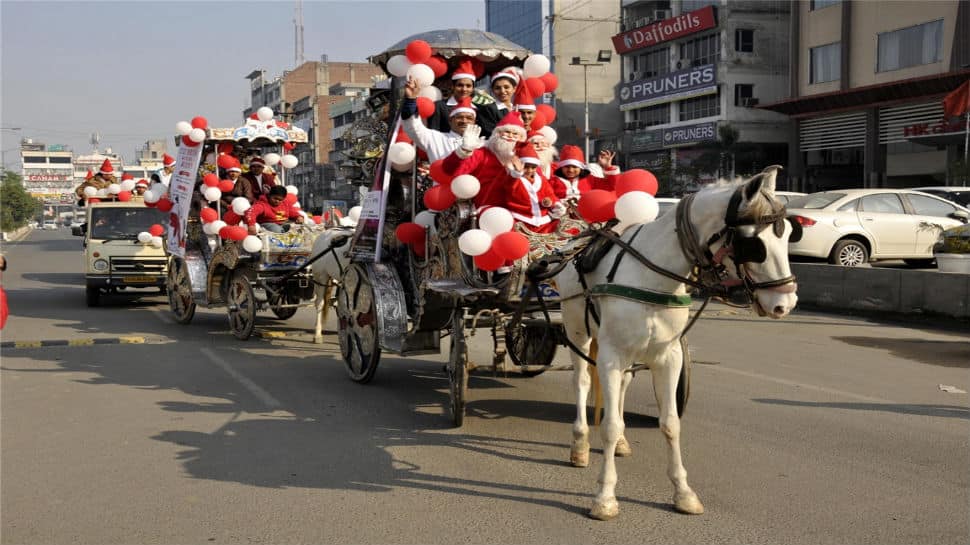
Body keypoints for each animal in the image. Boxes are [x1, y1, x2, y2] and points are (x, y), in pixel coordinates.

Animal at [556, 166, 796, 520]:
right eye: (754, 244)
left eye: (789, 233)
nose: (785, 303)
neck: (652, 275)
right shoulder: (611, 355)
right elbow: (609, 425)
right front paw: (605, 496)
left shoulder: (668, 356)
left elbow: (670, 423)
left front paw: (683, 492)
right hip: (577, 329)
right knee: (581, 381)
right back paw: (580, 443)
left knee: (623, 384)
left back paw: (622, 441)